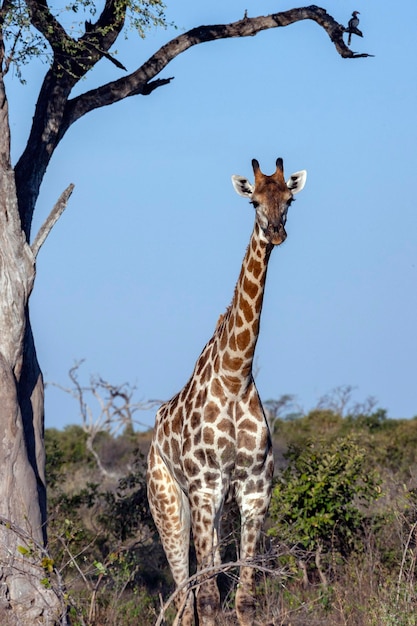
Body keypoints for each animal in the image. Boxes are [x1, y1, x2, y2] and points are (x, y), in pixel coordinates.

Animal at [146, 157, 306, 624]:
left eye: (289, 199)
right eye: (253, 201)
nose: (276, 232)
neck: (236, 375)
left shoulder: (254, 489)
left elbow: (244, 598)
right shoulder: (205, 487)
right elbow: (208, 600)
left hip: (211, 514)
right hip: (170, 504)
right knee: (185, 598)